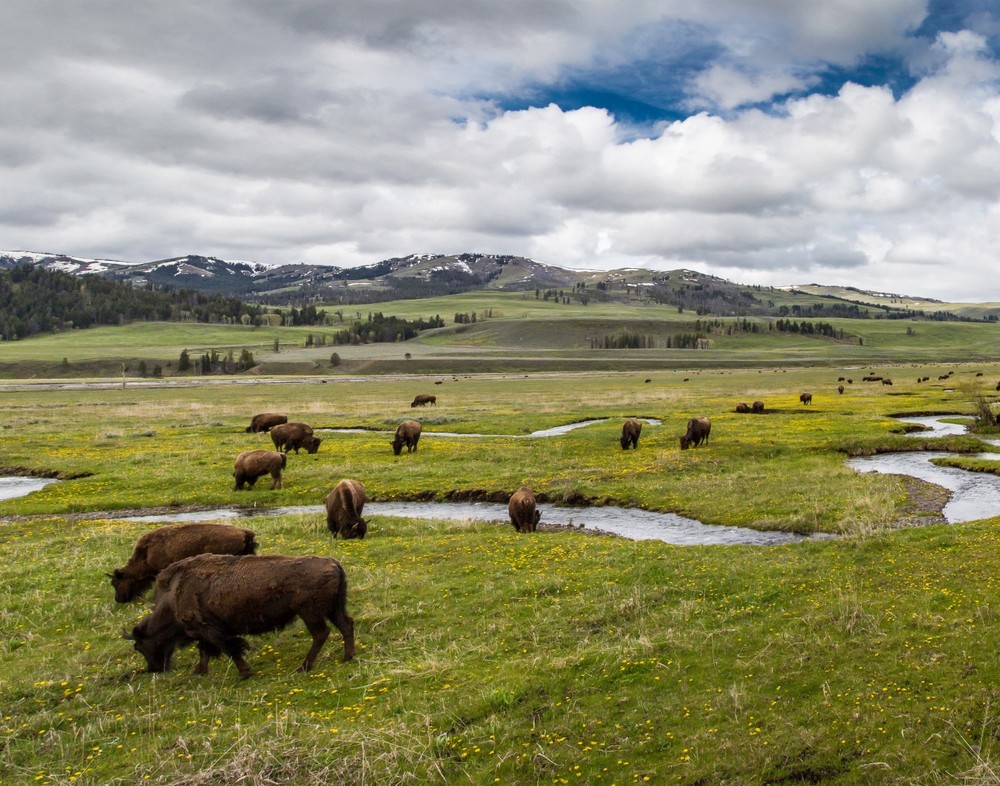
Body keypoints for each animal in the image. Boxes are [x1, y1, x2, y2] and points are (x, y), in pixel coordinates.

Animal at [125, 554, 355, 679]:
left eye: (140, 646)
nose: (154, 669)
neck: (174, 596)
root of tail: (334, 564)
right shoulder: (206, 633)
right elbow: (205, 651)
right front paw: (199, 671)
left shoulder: (211, 630)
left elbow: (230, 648)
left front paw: (244, 673)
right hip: (333, 609)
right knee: (346, 625)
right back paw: (347, 657)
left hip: (311, 613)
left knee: (321, 634)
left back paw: (303, 667)